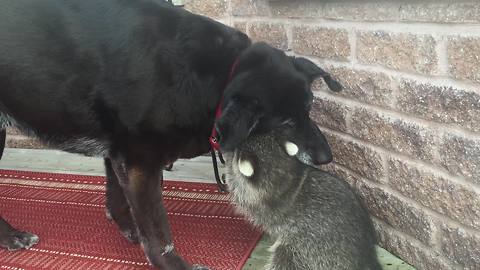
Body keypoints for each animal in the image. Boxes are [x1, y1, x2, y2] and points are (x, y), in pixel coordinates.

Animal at [0, 1, 342, 268]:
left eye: (309, 108)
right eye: (285, 121)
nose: (326, 157)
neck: (221, 74)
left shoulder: (118, 153)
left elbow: (117, 198)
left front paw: (127, 228)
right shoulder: (140, 162)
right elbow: (158, 231)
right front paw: (172, 263)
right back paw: (11, 235)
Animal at [223, 127, 380, 270]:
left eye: (238, 149)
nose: (231, 143)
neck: (287, 178)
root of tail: (365, 260)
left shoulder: (256, 203)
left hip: (306, 251)